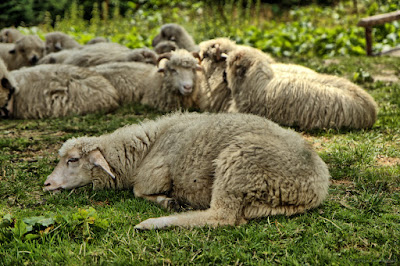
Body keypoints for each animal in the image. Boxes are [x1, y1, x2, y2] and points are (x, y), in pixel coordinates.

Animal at [43, 111, 332, 230]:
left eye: (72, 160)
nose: (46, 184)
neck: (145, 147)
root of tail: (315, 186)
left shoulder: (153, 175)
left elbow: (138, 192)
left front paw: (167, 201)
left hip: (239, 164)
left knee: (222, 218)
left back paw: (153, 223)